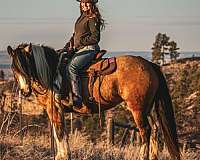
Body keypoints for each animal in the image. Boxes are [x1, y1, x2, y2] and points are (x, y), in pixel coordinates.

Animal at [7, 43, 180, 160]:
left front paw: (62, 156)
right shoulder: (57, 110)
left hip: (137, 108)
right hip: (147, 108)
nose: (24, 91)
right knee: (155, 129)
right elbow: (60, 133)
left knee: (146, 130)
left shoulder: (53, 108)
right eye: (14, 69)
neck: (51, 72)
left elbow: (60, 133)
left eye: (26, 66)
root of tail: (149, 64)